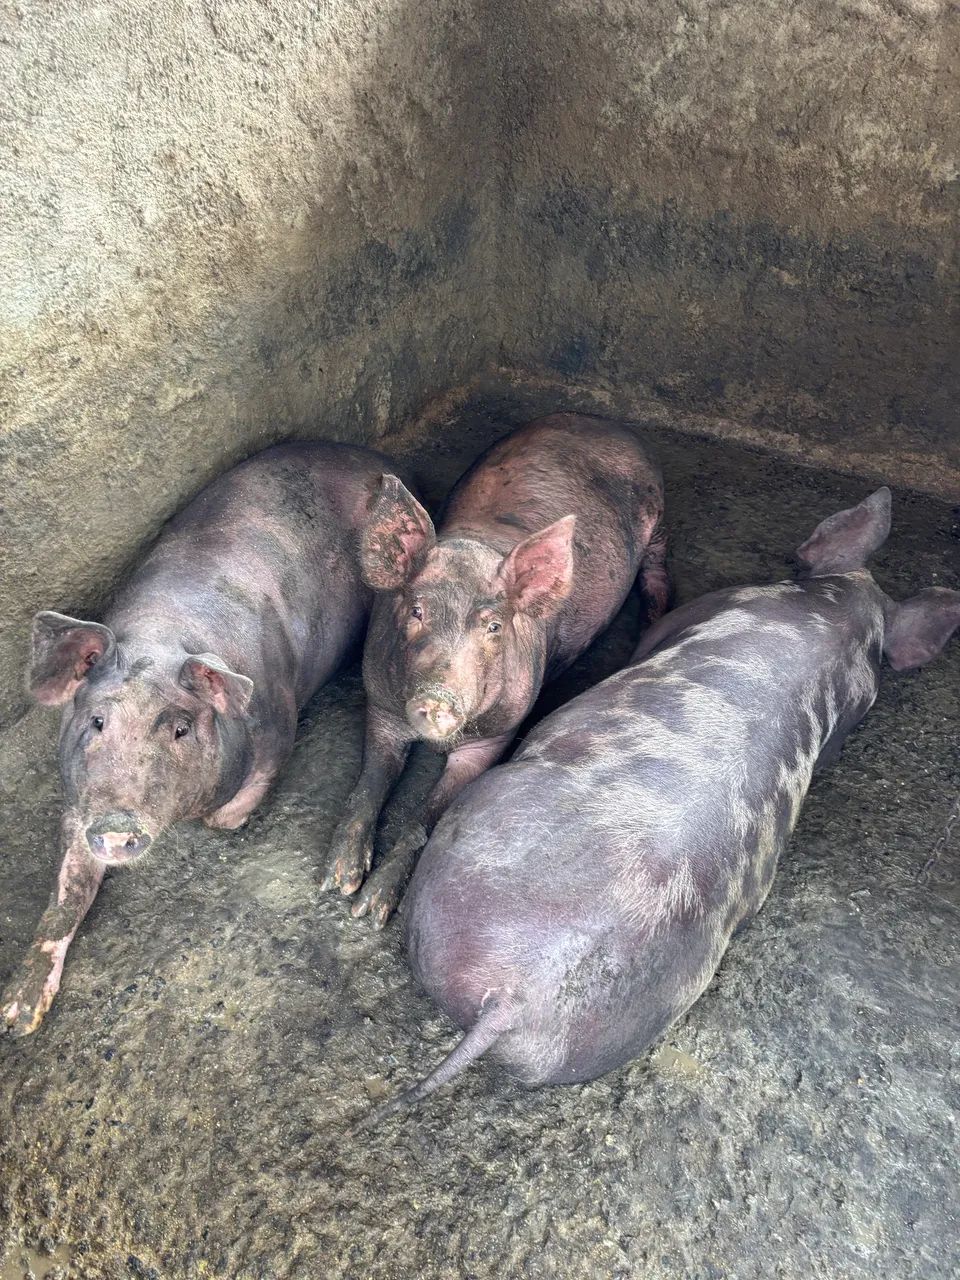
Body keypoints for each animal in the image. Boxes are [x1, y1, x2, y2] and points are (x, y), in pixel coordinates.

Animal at [2, 442, 408, 1036]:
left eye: (180, 728)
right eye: (97, 722)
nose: (118, 825)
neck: (162, 634)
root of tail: (369, 455)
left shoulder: (278, 723)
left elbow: (239, 803)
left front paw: (219, 819)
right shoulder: (79, 802)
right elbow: (67, 888)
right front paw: (17, 1017)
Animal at [321, 413, 669, 927]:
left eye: (493, 626)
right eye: (416, 610)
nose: (436, 698)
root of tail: (606, 423)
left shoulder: (494, 737)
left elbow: (426, 819)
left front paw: (372, 910)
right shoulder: (381, 707)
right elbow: (368, 785)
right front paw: (339, 882)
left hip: (658, 517)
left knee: (657, 573)